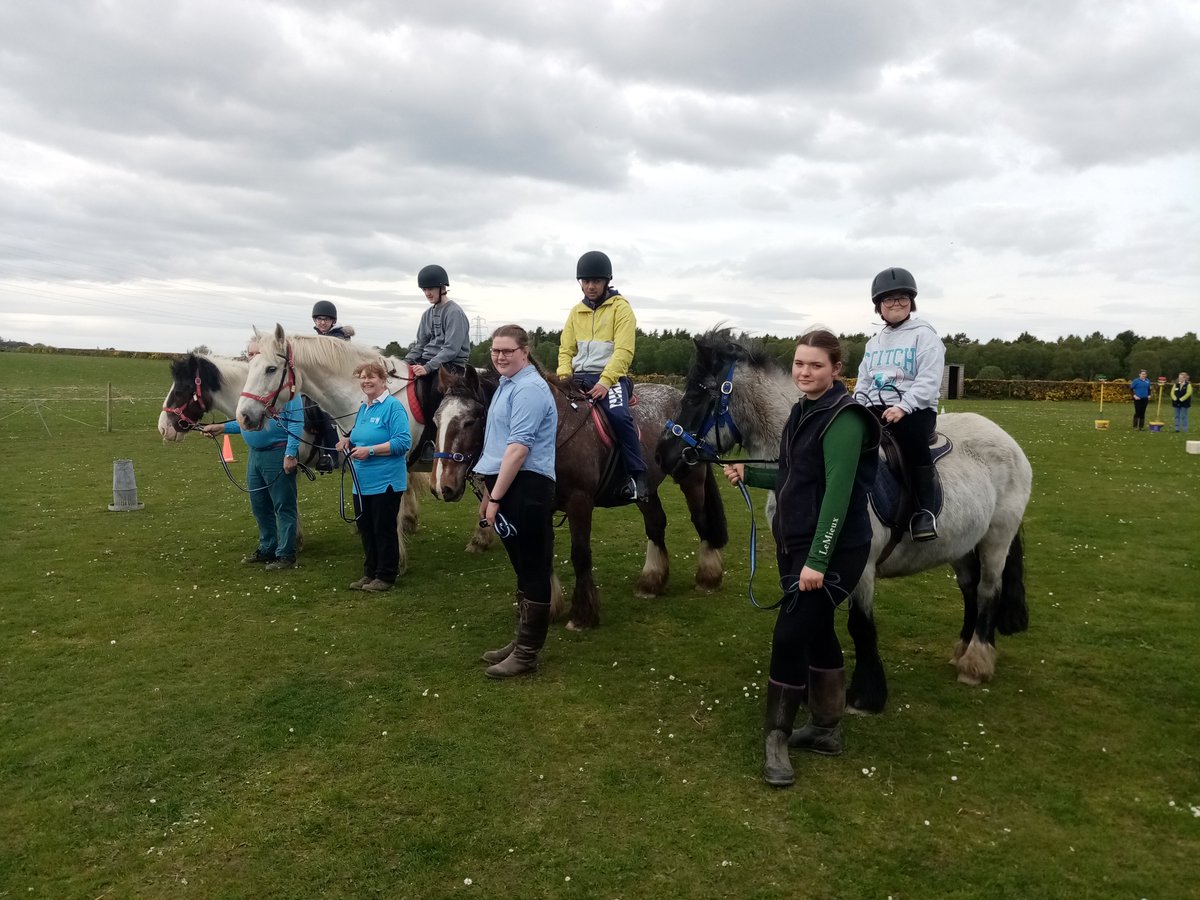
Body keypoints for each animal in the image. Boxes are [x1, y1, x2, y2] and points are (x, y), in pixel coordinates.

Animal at [234, 328, 492, 573]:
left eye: (270, 369)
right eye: (250, 366)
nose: (244, 416)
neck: (362, 399)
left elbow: (390, 512)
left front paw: (396, 562)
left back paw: (479, 540)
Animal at [432, 362, 729, 628]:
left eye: (469, 421)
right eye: (436, 419)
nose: (441, 485)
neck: (552, 430)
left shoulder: (580, 502)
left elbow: (581, 554)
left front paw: (583, 614)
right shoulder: (540, 505)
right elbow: (543, 553)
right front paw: (548, 607)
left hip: (692, 478)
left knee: (700, 520)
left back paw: (708, 577)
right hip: (647, 488)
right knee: (656, 524)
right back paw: (651, 582)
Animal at [657, 331, 1032, 710]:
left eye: (694, 396)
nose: (662, 455)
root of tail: (1007, 441)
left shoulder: (861, 568)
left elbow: (860, 626)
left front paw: (865, 695)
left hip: (996, 539)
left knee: (987, 591)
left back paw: (976, 663)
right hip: (964, 543)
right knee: (969, 590)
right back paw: (962, 651)